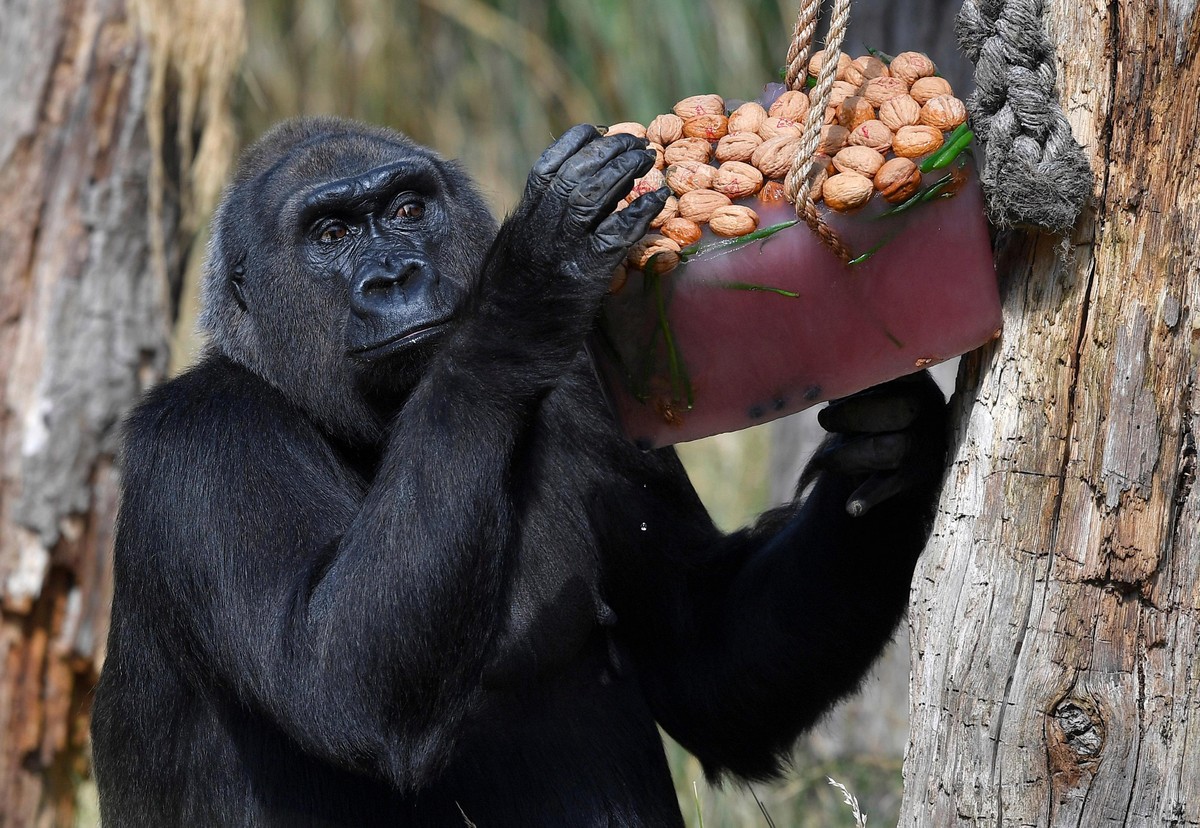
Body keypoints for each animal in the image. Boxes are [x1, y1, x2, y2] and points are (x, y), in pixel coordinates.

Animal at [91, 117, 945, 825]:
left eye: (408, 211)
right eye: (330, 234)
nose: (395, 276)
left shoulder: (593, 394)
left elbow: (708, 661)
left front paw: (899, 448)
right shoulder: (204, 438)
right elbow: (336, 682)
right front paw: (537, 275)